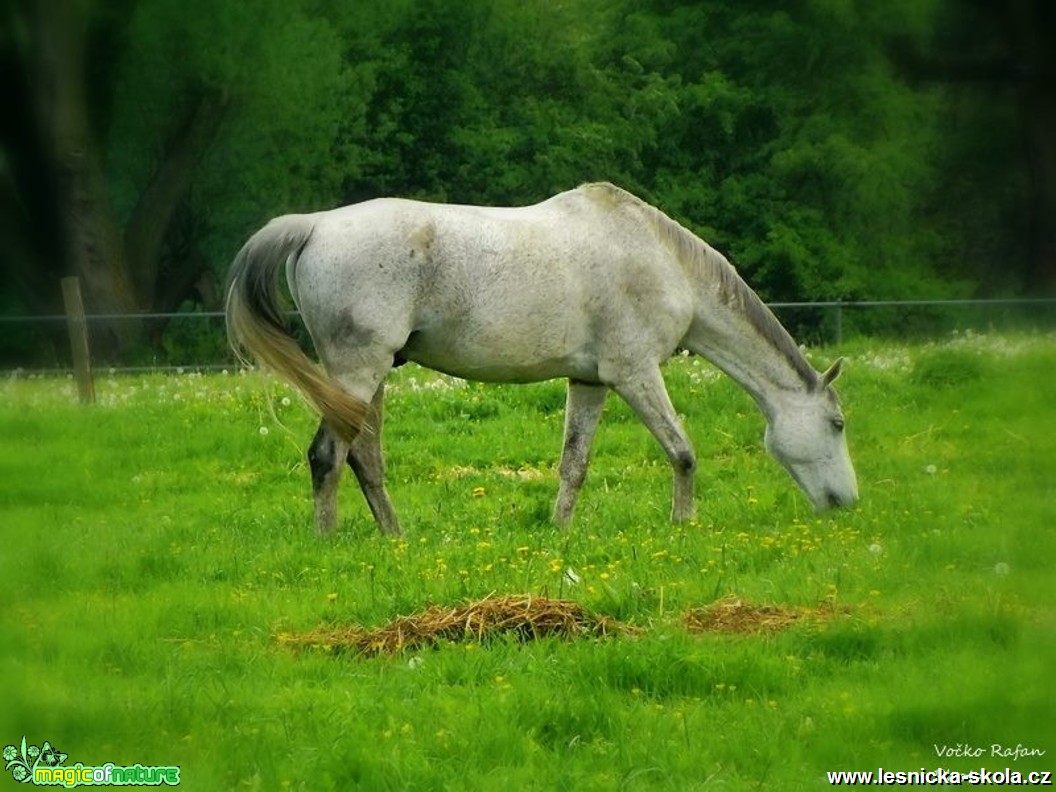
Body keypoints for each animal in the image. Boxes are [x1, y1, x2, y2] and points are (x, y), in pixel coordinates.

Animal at [229, 182, 857, 536]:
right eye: (837, 423)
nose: (847, 502)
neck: (661, 260)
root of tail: (314, 226)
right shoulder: (635, 374)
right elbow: (682, 452)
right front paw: (683, 527)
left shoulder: (590, 382)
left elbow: (573, 464)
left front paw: (559, 533)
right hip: (359, 371)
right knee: (327, 456)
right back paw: (328, 540)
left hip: (370, 377)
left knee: (364, 459)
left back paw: (394, 536)